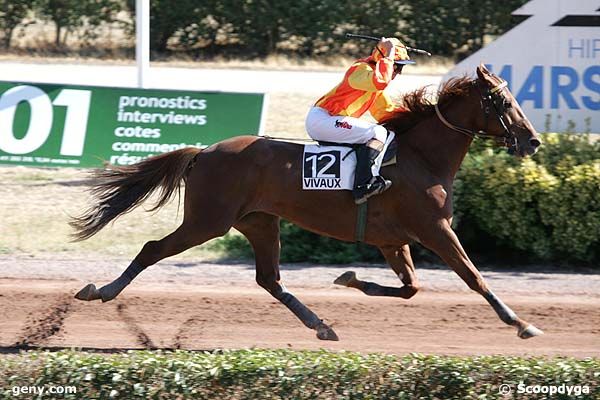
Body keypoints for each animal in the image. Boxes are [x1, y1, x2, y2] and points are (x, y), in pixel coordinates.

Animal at [71, 65, 544, 340]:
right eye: (503, 101)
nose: (533, 141)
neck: (420, 157)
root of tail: (204, 151)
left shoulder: (394, 240)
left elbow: (411, 288)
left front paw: (351, 279)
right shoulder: (435, 229)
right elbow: (474, 277)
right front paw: (521, 323)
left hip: (260, 222)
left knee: (269, 279)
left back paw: (321, 325)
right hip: (209, 221)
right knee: (153, 249)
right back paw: (102, 290)